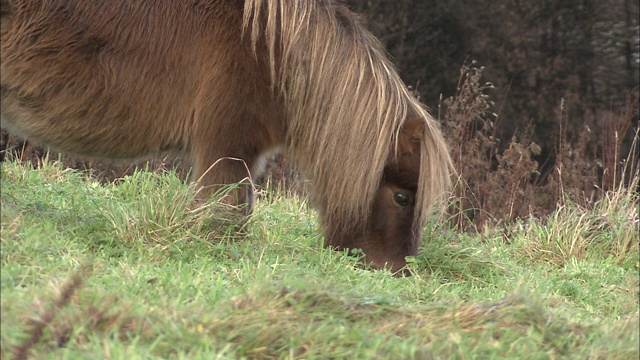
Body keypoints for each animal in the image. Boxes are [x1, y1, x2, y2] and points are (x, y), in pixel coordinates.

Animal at [0, 0, 452, 272]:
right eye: (401, 197)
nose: (396, 273)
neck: (271, 54)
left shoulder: (245, 155)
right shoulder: (226, 148)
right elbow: (224, 213)